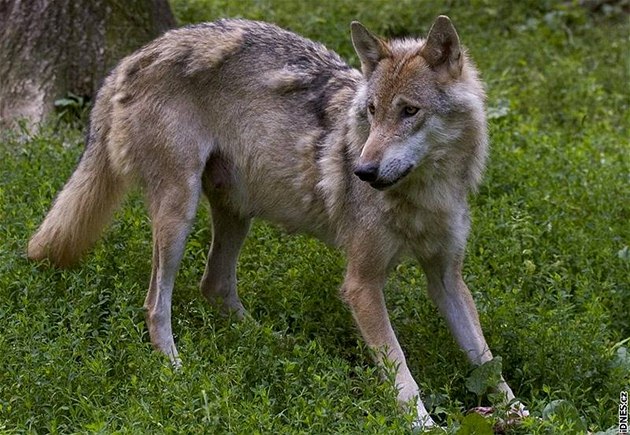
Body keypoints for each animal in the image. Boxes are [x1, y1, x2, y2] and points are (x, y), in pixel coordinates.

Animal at [28, 16, 524, 426]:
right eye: (371, 111)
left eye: (409, 111)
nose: (361, 171)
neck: (426, 193)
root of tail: (131, 58)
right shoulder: (361, 284)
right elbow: (401, 371)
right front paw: (424, 425)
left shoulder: (447, 278)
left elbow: (486, 361)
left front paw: (524, 414)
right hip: (179, 214)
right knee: (156, 304)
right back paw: (177, 370)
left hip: (235, 212)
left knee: (214, 286)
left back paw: (276, 343)